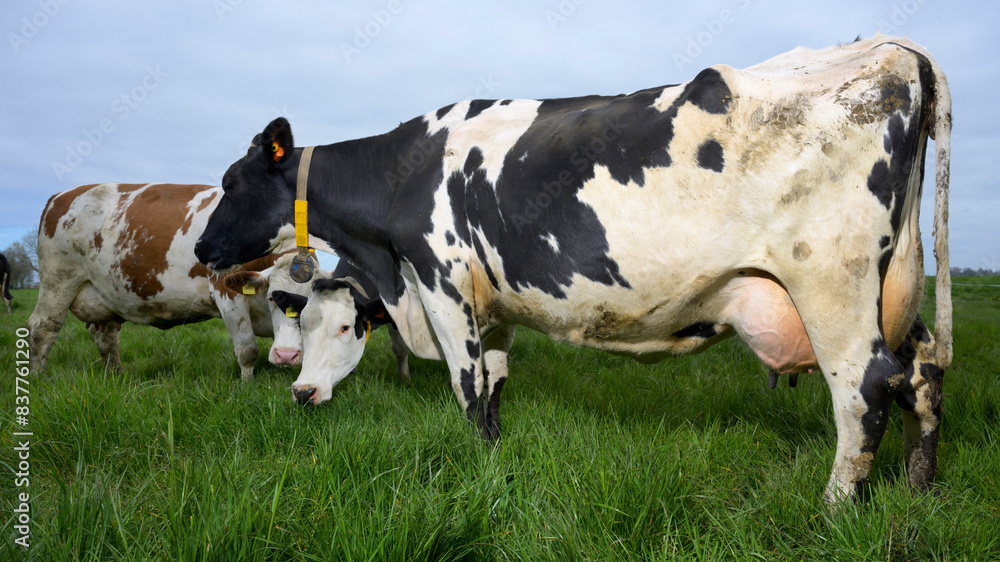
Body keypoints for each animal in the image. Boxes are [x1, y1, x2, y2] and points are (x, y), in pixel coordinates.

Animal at [27, 182, 321, 379]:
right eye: (272, 296)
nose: (287, 357)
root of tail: (61, 195)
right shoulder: (227, 295)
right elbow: (247, 350)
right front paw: (245, 389)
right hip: (58, 280)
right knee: (43, 328)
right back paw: (38, 379)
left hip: (104, 295)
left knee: (106, 336)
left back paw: (116, 377)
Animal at [194, 35, 952, 504]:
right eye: (306, 319)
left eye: (232, 181)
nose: (201, 251)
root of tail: (894, 48)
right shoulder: (492, 304)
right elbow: (495, 385)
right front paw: (495, 465)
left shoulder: (441, 280)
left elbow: (468, 390)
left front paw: (479, 471)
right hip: (894, 286)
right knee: (920, 374)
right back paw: (917, 489)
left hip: (832, 285)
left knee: (864, 389)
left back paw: (836, 507)